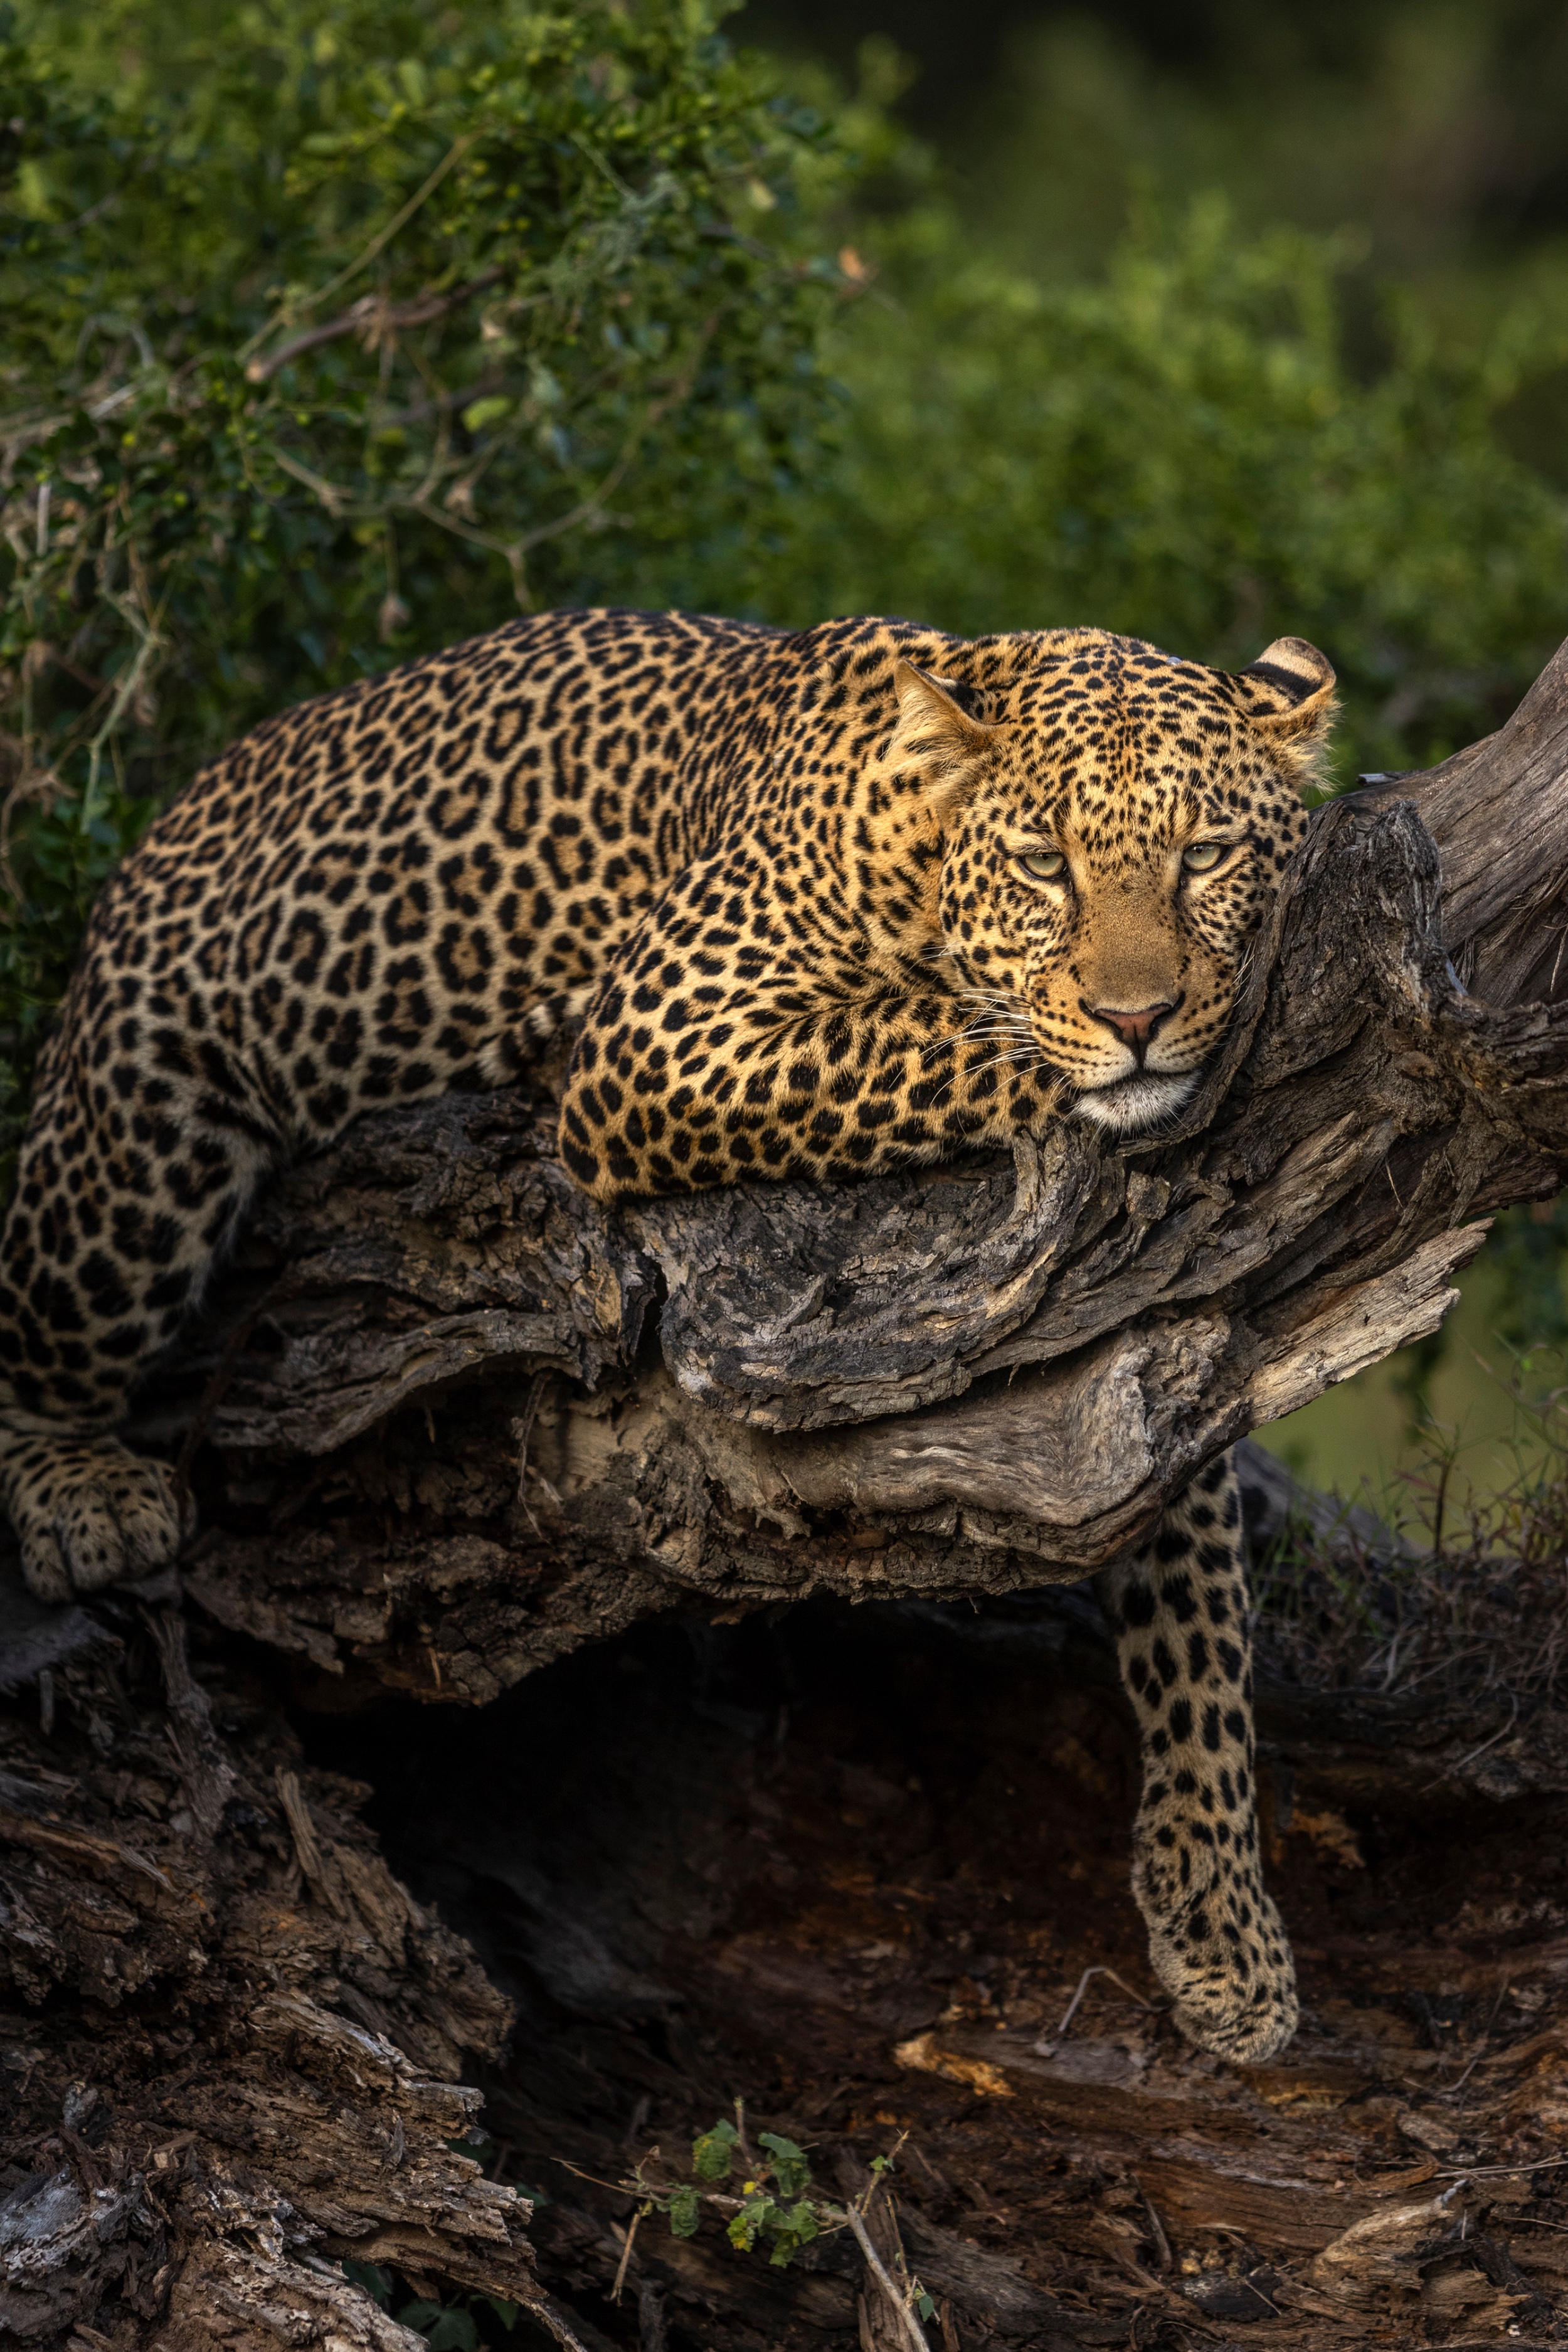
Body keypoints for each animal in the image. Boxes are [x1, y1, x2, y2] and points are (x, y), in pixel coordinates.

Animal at [0, 604, 1335, 2061]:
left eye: (1204, 856)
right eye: (1044, 865)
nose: (1137, 1019)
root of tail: (181, 811)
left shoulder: (1139, 1362)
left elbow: (1199, 1618)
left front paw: (1224, 1927)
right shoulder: (667, 1034)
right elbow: (937, 1040)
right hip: (142, 1133)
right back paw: (83, 1494)